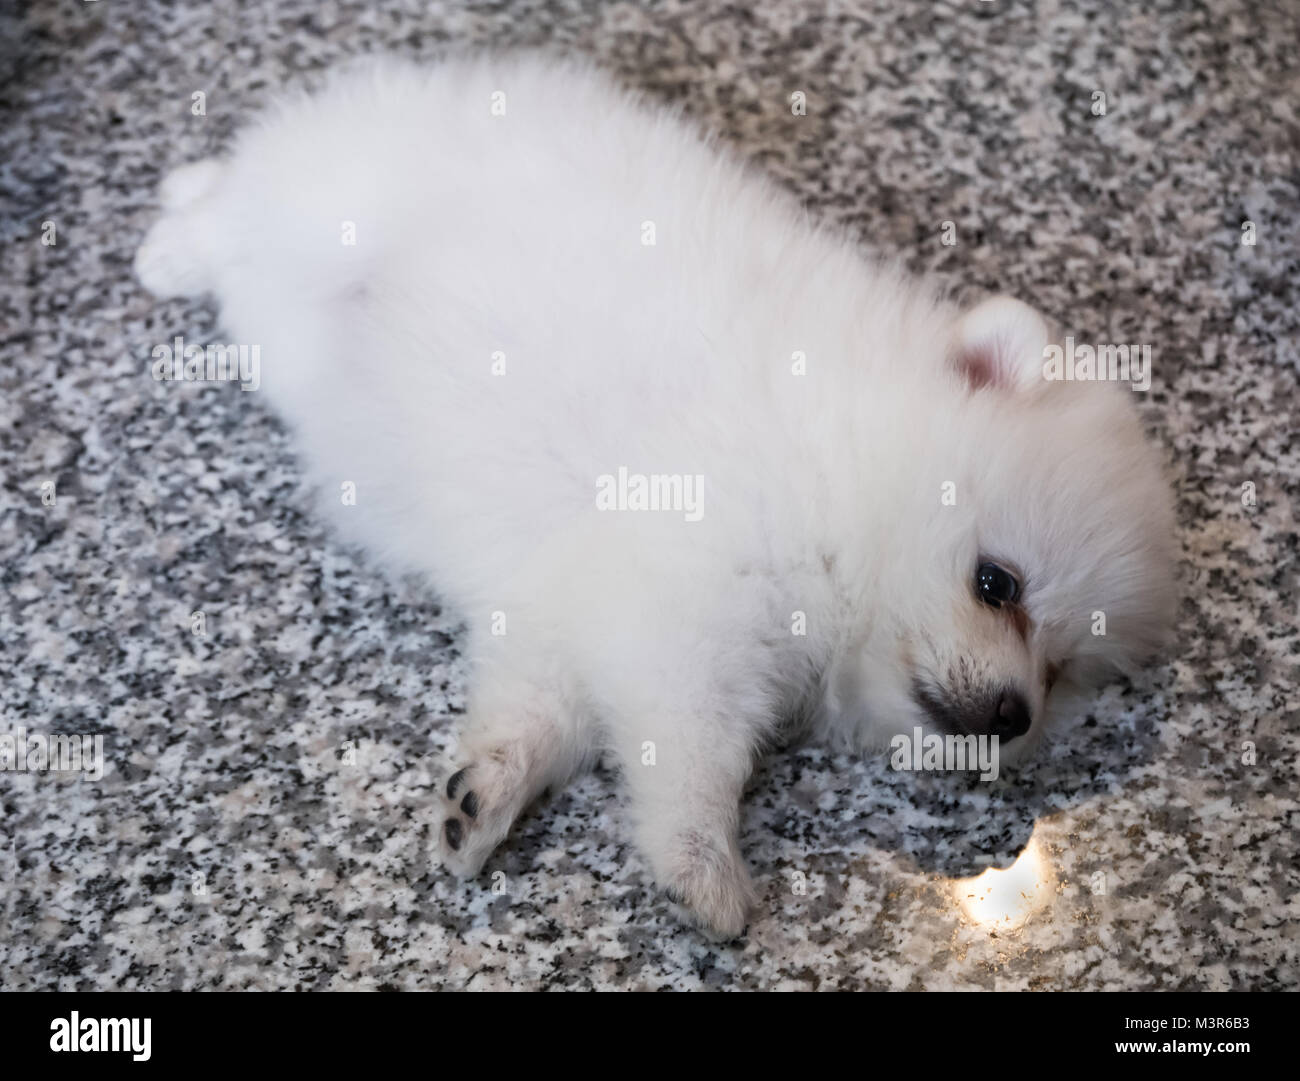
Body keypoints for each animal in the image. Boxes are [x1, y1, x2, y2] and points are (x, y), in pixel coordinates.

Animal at [139, 52, 1180, 935]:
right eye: (997, 583)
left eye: (1061, 672)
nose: (1012, 715)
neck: (834, 471)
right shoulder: (692, 594)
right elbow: (693, 744)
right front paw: (703, 863)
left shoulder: (575, 590)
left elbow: (540, 705)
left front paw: (484, 792)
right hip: (352, 185)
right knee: (250, 196)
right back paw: (173, 240)